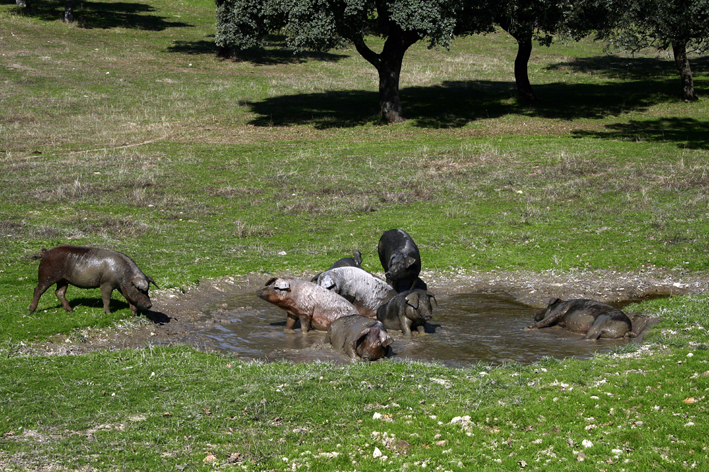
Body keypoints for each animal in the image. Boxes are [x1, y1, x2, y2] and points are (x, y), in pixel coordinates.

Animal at [27, 245, 158, 316]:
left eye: (147, 290)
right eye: (139, 289)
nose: (150, 305)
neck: (124, 274)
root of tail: (46, 252)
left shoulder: (122, 287)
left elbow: (129, 298)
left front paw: (134, 314)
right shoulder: (106, 283)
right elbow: (106, 299)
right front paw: (108, 313)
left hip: (63, 280)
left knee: (59, 292)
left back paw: (71, 311)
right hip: (46, 276)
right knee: (37, 289)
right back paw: (31, 310)